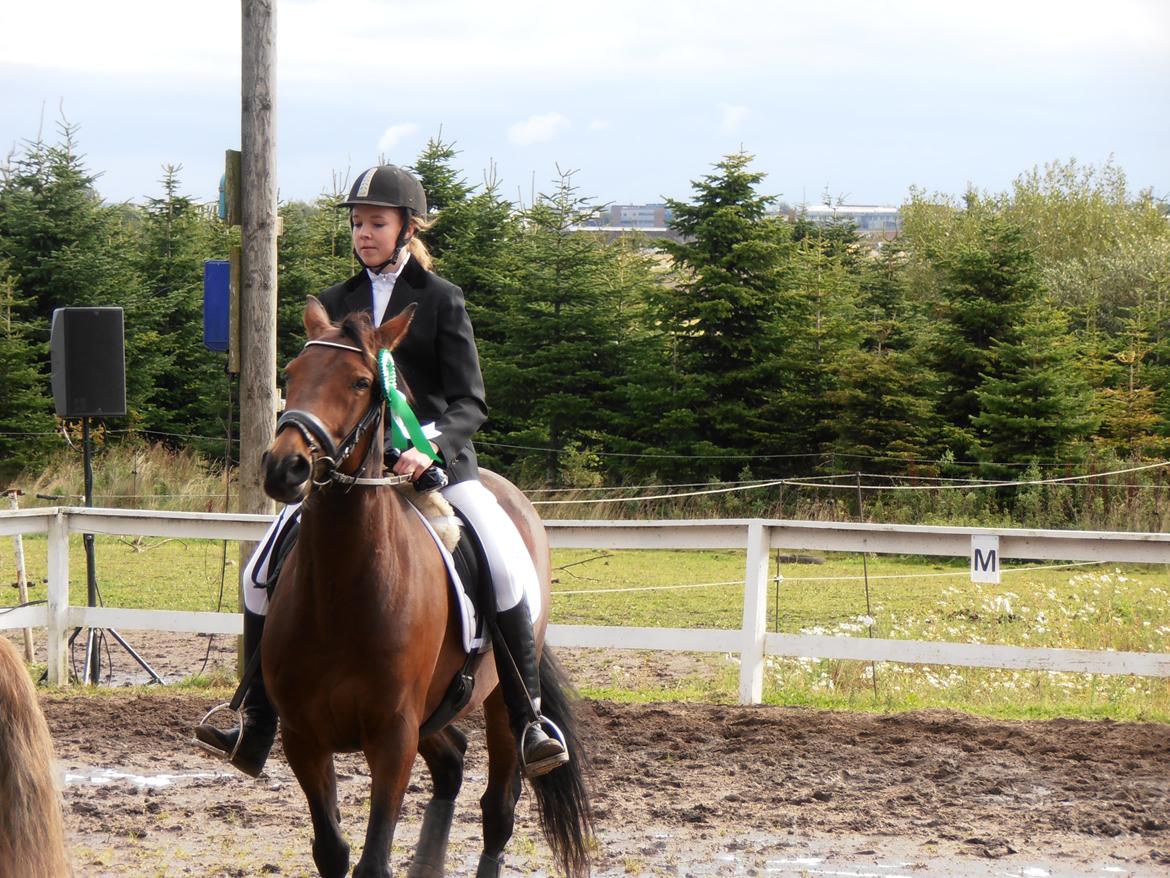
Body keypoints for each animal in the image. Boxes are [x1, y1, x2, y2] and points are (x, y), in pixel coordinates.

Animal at [255, 297, 589, 878]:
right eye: (291, 374)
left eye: (362, 382)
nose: (285, 467)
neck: (340, 593)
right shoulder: (303, 737)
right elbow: (332, 851)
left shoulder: (393, 738)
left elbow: (373, 861)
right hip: (432, 716)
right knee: (452, 764)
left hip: (500, 705)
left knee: (498, 810)